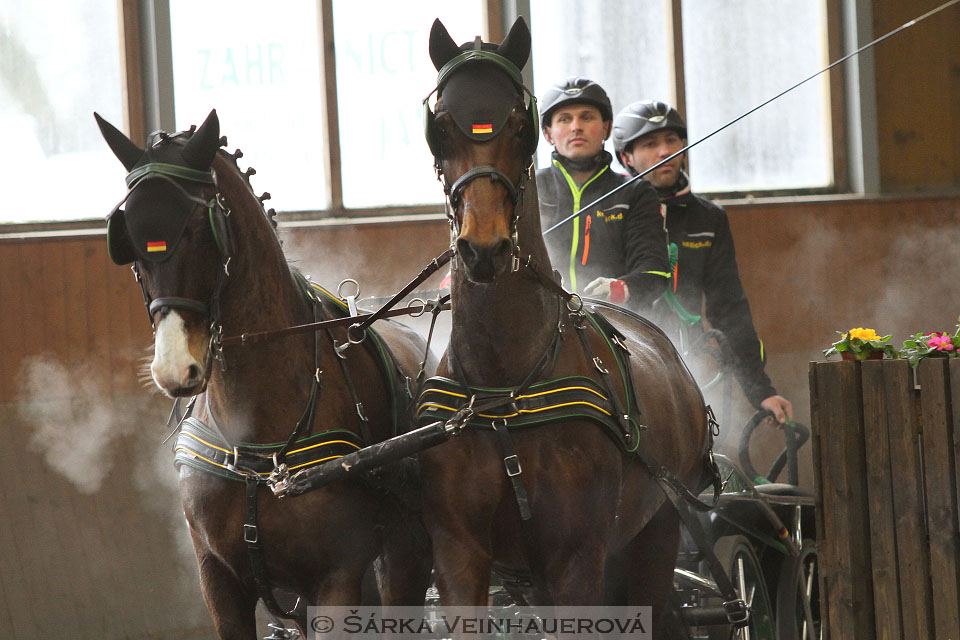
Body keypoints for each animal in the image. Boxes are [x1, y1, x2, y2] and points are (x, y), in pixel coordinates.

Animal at [94, 112, 432, 636]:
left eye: (199, 227)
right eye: (126, 234)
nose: (174, 367)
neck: (254, 443)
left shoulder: (336, 581)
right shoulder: (219, 579)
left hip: (403, 564)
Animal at [418, 18, 712, 632]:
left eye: (519, 124)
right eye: (441, 126)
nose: (484, 250)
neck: (506, 386)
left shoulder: (577, 558)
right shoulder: (459, 554)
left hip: (656, 534)